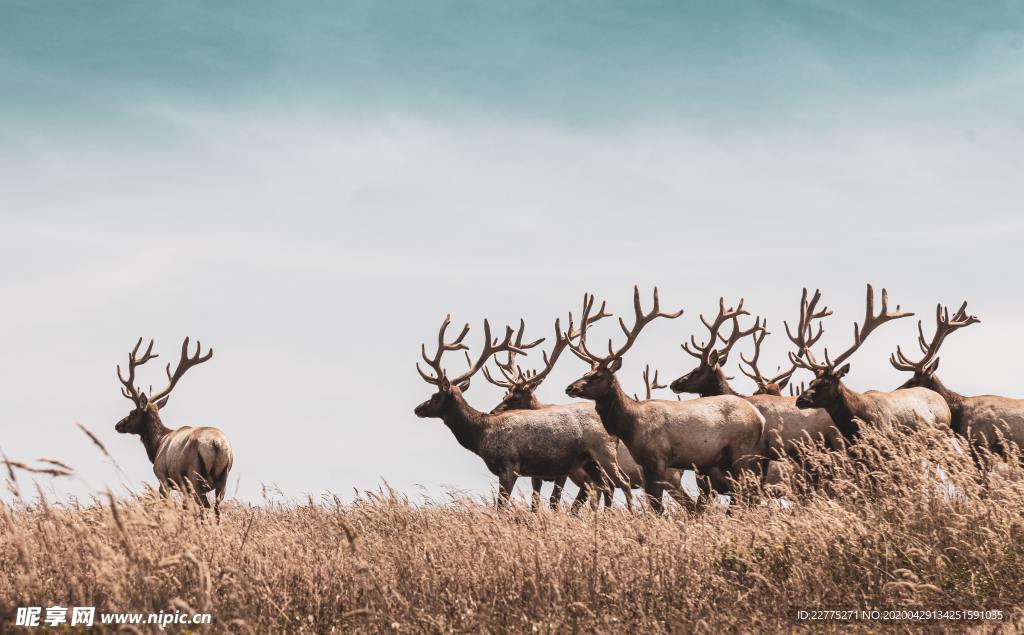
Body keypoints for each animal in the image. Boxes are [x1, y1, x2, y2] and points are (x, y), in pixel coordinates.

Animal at [115, 337, 233, 520]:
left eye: (132, 412)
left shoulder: (163, 477)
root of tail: (216, 444)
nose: (118, 425)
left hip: (194, 475)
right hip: (223, 477)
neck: (157, 445)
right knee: (216, 509)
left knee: (202, 507)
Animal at [413, 315, 626, 508]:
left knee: (616, 483)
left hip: (603, 451)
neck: (481, 435)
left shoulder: (510, 465)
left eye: (434, 395)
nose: (417, 408)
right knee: (606, 487)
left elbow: (501, 505)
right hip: (588, 461)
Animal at [561, 286, 770, 510]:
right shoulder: (645, 463)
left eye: (597, 376)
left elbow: (657, 505)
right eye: (585, 372)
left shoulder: (658, 458)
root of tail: (760, 418)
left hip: (742, 451)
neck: (631, 425)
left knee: (748, 490)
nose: (570, 388)